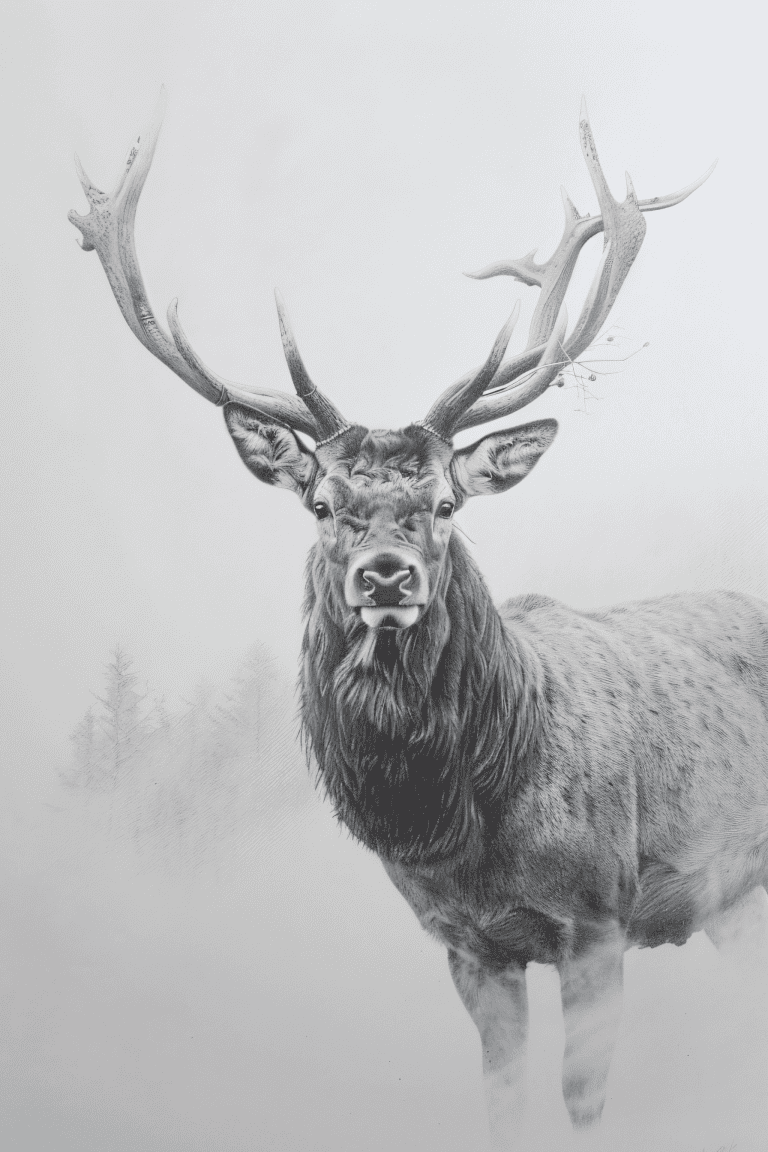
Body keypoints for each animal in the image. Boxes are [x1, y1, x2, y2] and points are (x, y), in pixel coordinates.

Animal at [69, 90, 768, 1150]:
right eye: (321, 504)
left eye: (446, 503)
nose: (385, 576)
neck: (471, 832)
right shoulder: (465, 943)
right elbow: (501, 1099)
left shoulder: (601, 917)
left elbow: (584, 1103)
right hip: (729, 902)